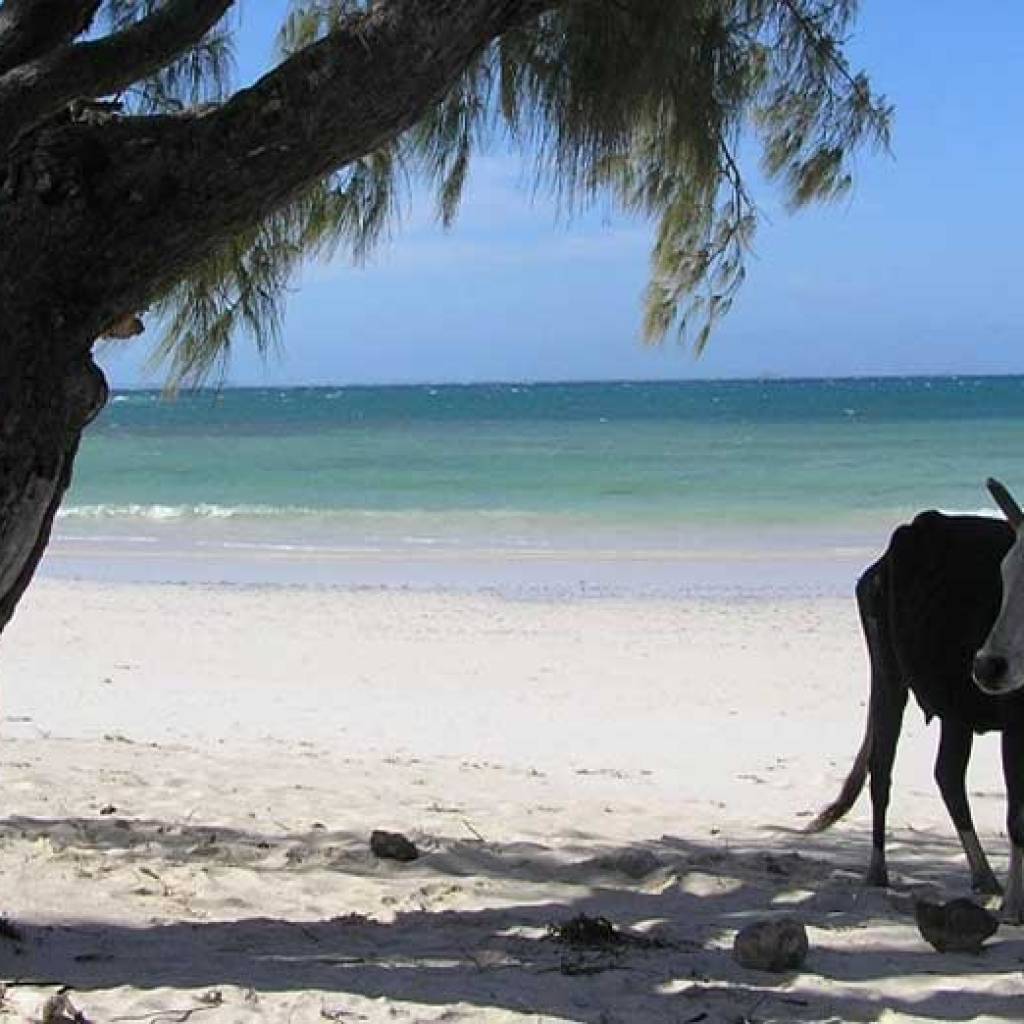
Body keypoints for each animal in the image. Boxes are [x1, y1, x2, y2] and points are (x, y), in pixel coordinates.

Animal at [802, 479, 1024, 921]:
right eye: (1006, 576)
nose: (988, 666)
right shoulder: (1014, 724)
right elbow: (1016, 818)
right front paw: (1013, 907)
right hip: (888, 675)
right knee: (882, 769)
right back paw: (878, 872)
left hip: (956, 706)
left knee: (948, 775)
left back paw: (983, 876)